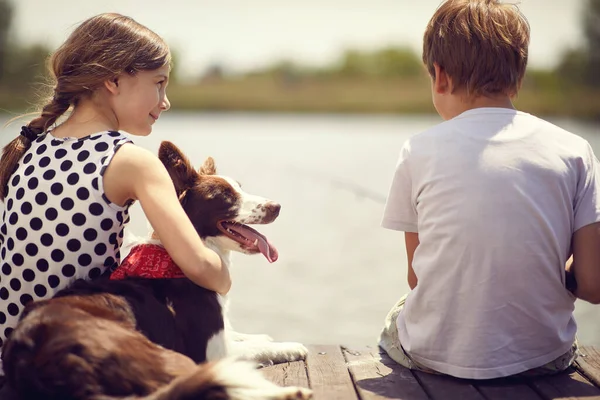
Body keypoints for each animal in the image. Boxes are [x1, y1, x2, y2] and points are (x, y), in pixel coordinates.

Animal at [0, 141, 310, 400]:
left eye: (240, 188)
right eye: (224, 195)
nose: (277, 207)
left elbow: (247, 336)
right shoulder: (212, 350)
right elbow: (260, 348)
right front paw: (291, 345)